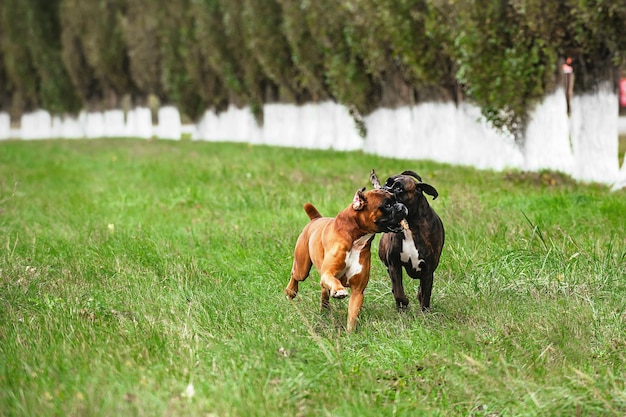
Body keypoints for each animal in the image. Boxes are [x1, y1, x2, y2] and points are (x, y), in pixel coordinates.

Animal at [286, 187, 408, 330]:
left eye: (397, 200)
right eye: (387, 205)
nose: (402, 206)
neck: (356, 240)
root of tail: (315, 219)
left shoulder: (357, 291)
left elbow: (352, 315)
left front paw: (350, 333)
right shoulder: (328, 273)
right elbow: (334, 280)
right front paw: (339, 291)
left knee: (324, 291)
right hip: (302, 268)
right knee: (295, 275)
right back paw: (291, 291)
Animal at [370, 168, 444, 308]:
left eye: (399, 188)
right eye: (387, 183)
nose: (384, 189)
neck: (411, 226)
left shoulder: (428, 271)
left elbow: (425, 295)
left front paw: (425, 311)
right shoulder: (394, 265)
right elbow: (398, 291)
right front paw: (403, 304)